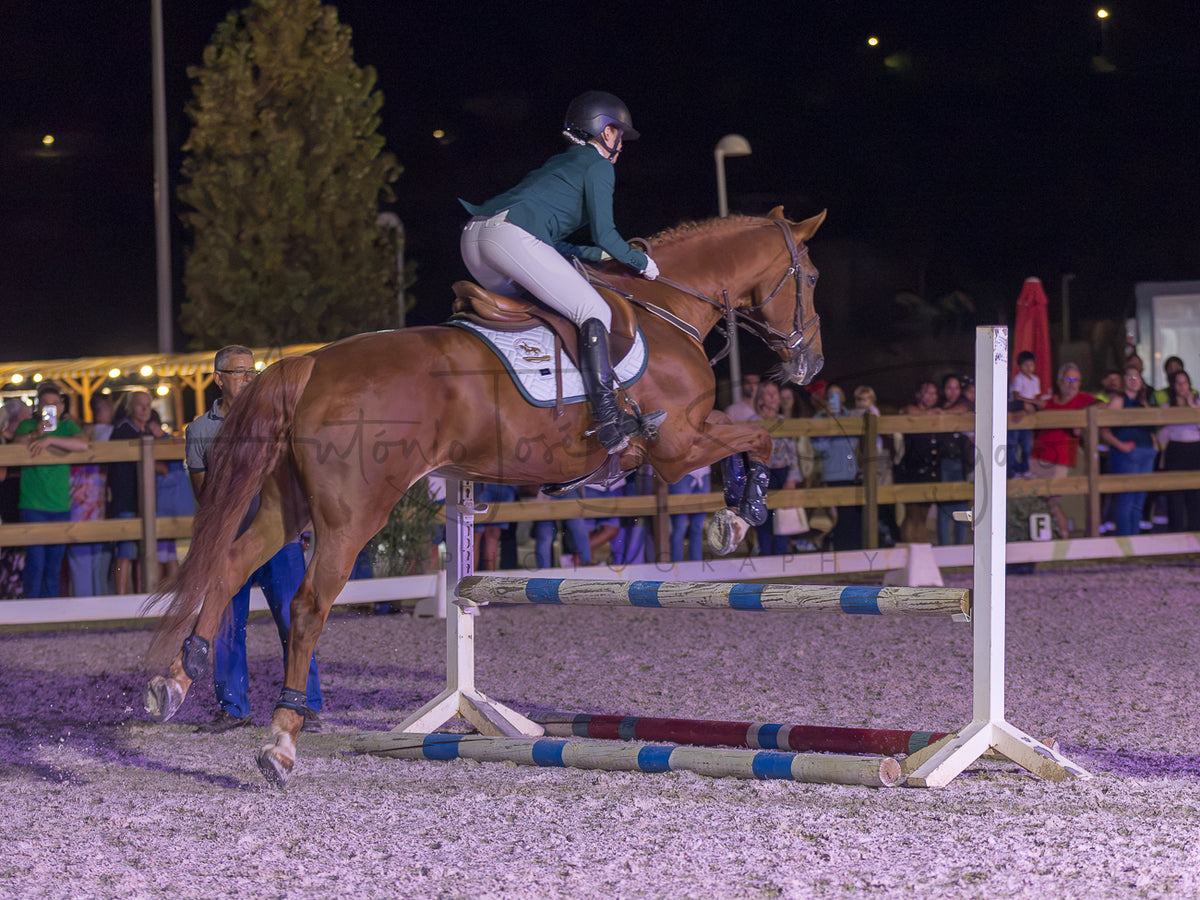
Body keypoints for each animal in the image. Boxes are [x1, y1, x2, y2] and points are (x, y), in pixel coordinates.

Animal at [143, 206, 825, 786]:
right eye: (813, 277)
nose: (811, 367)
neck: (666, 308)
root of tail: (309, 366)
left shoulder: (682, 440)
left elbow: (745, 437)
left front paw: (735, 511)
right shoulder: (677, 446)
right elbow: (759, 436)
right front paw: (740, 517)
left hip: (288, 505)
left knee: (232, 562)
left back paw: (177, 677)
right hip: (353, 513)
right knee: (308, 604)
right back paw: (280, 743)